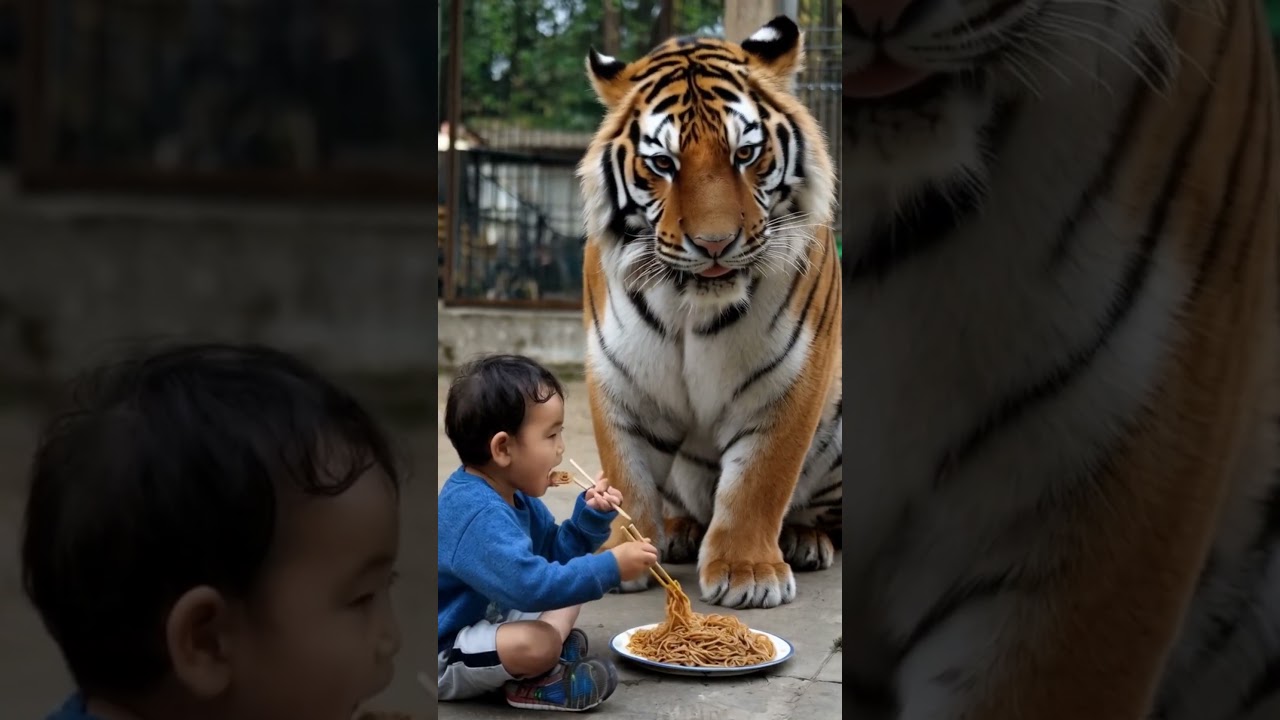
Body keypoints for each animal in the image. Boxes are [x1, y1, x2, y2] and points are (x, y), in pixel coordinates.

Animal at [575, 15, 841, 610]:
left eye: (744, 155)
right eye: (663, 164)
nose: (715, 244)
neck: (689, 303)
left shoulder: (792, 379)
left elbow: (760, 480)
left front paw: (748, 573)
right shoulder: (618, 379)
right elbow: (625, 474)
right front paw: (621, 554)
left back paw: (805, 539)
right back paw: (679, 530)